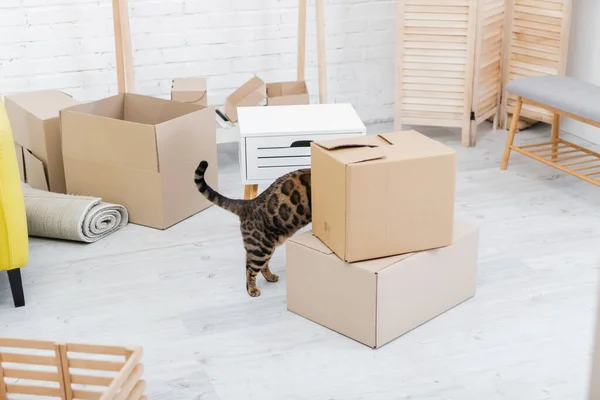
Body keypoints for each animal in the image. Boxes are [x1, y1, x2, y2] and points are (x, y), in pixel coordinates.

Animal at [195, 160, 312, 296]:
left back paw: (270, 277)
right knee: (250, 269)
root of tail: (248, 203)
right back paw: (252, 290)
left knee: (258, 265)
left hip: (265, 247)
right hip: (261, 249)